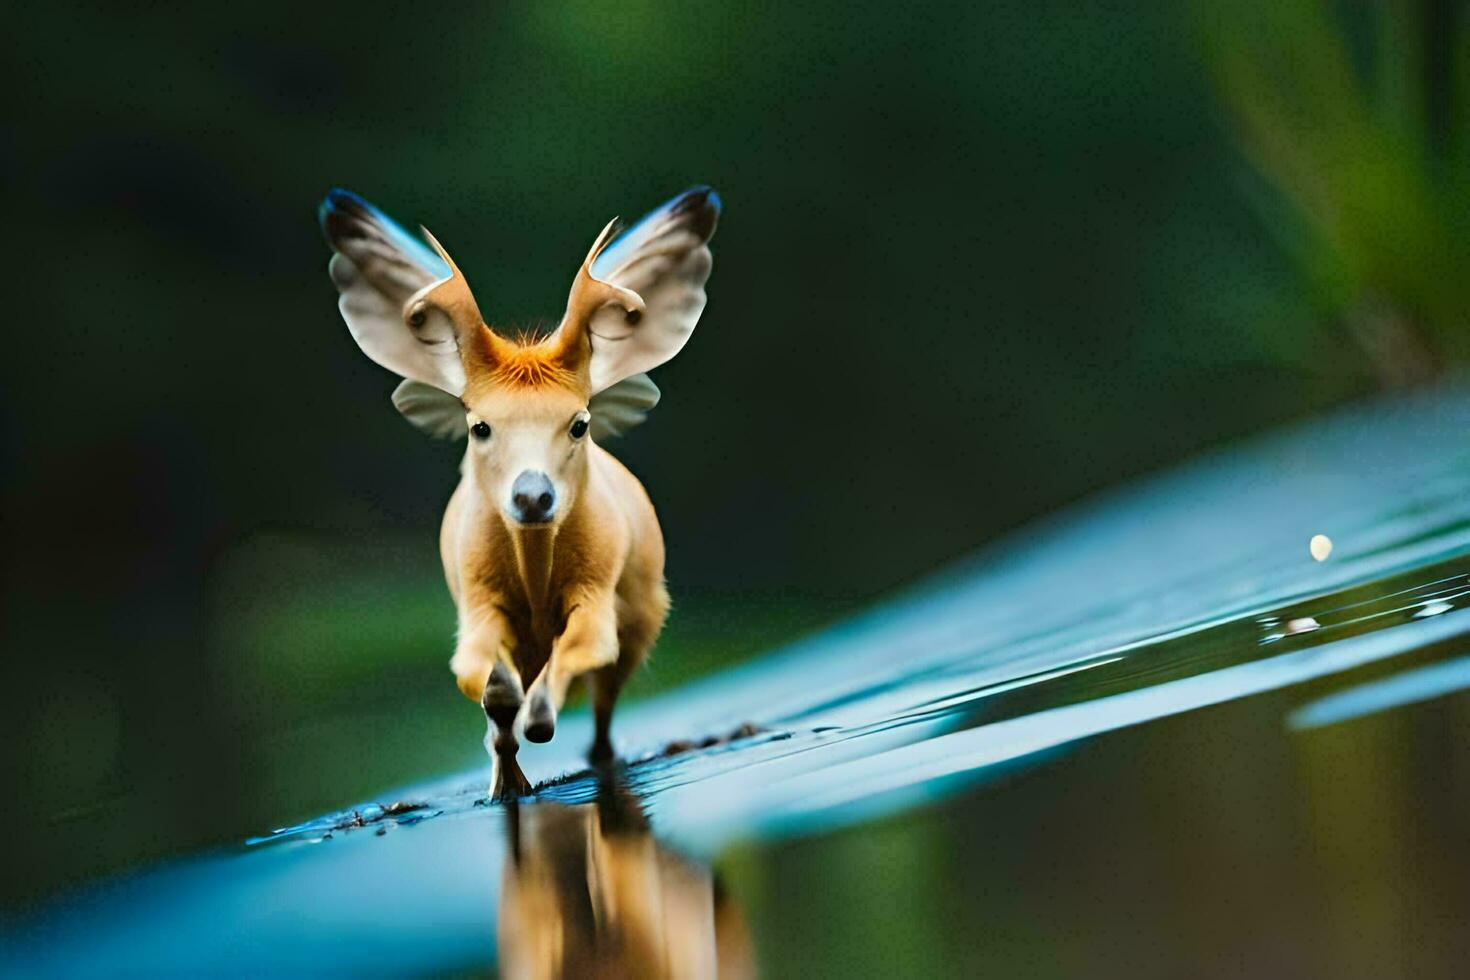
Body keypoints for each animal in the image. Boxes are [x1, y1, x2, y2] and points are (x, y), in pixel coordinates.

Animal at [318, 183, 720, 799]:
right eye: (479, 427)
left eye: (579, 423)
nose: (533, 497)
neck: (534, 575)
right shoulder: (477, 601)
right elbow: (473, 675)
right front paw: (506, 746)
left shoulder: (597, 593)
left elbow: (581, 650)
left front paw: (538, 719)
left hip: (641, 621)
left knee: (604, 713)